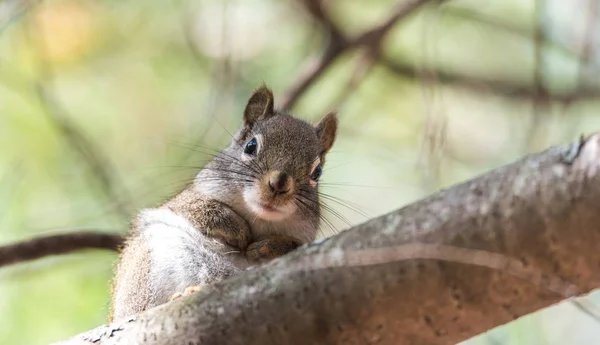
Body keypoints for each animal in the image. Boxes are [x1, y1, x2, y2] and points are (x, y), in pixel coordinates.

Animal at [109, 84, 338, 320]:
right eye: (250, 146)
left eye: (317, 172)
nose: (279, 184)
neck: (257, 218)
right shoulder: (186, 200)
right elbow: (197, 208)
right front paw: (237, 229)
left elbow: (294, 245)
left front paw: (269, 246)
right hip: (144, 270)